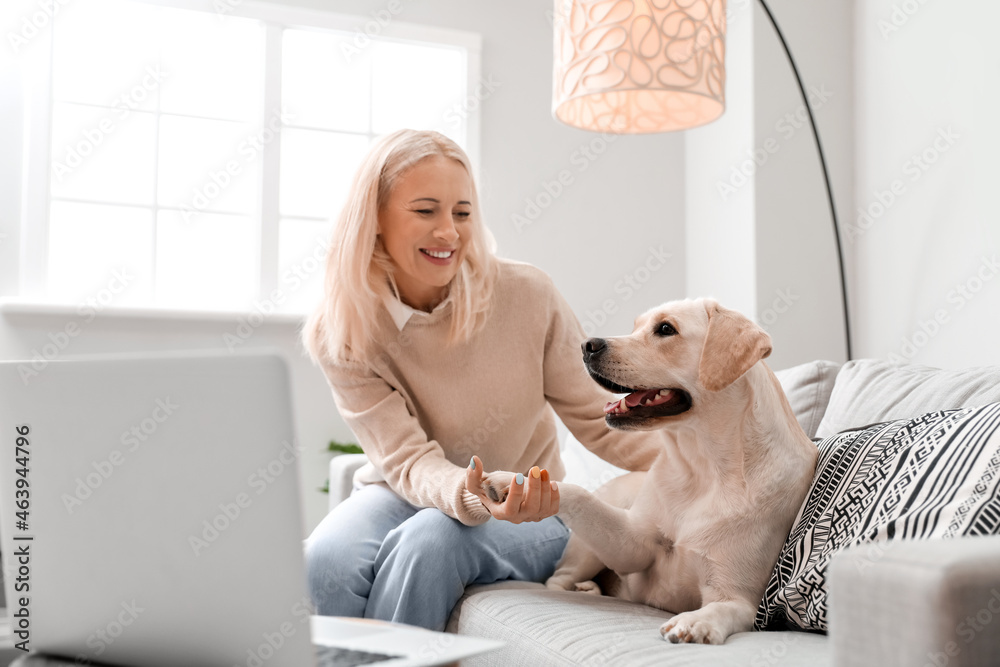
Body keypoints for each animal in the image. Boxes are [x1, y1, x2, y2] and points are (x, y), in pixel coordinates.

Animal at [478, 300, 820, 644]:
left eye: (666, 329)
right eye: (635, 327)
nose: (587, 346)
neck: (702, 469)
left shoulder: (740, 598)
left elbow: (720, 609)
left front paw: (694, 622)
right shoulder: (632, 546)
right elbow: (579, 494)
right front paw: (515, 482)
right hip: (585, 552)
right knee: (557, 579)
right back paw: (584, 588)